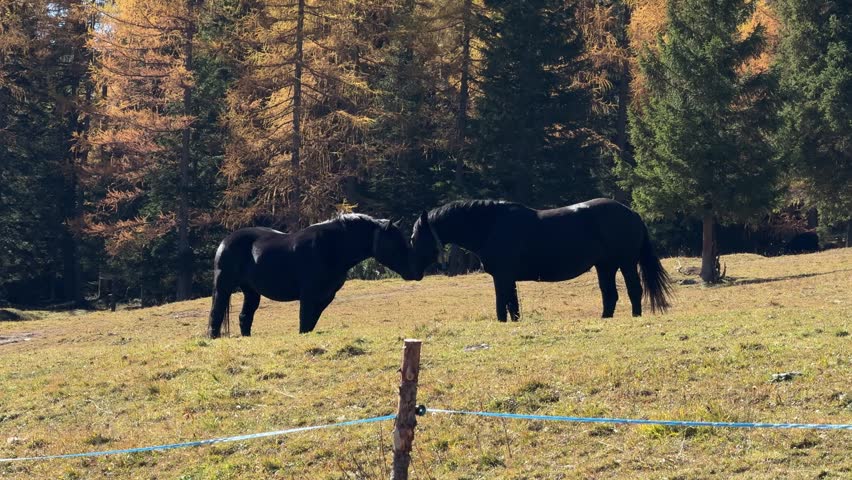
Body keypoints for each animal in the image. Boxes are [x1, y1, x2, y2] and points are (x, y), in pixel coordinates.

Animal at [207, 214, 415, 338]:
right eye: (394, 242)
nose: (412, 270)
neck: (330, 248)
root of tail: (225, 241)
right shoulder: (308, 295)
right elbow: (305, 322)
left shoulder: (325, 297)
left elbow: (310, 323)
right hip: (223, 287)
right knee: (215, 316)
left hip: (251, 292)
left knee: (244, 317)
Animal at [410, 199, 672, 321]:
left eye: (414, 237)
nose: (411, 272)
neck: (490, 226)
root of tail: (632, 213)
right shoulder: (508, 278)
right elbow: (512, 306)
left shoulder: (502, 277)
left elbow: (502, 307)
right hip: (605, 266)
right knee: (610, 296)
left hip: (625, 263)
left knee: (634, 291)